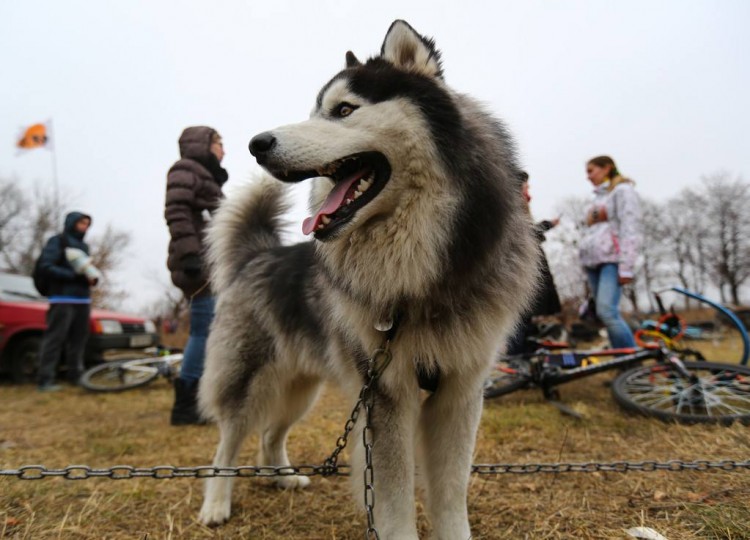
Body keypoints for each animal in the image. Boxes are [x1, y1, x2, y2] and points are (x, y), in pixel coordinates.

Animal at [200, 19, 540, 536]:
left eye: (343, 110)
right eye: (315, 111)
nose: (257, 144)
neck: (421, 279)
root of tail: (261, 253)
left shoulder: (461, 392)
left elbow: (451, 493)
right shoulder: (386, 394)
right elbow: (395, 500)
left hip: (302, 387)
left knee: (270, 432)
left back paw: (281, 477)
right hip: (249, 380)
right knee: (228, 442)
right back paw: (216, 505)